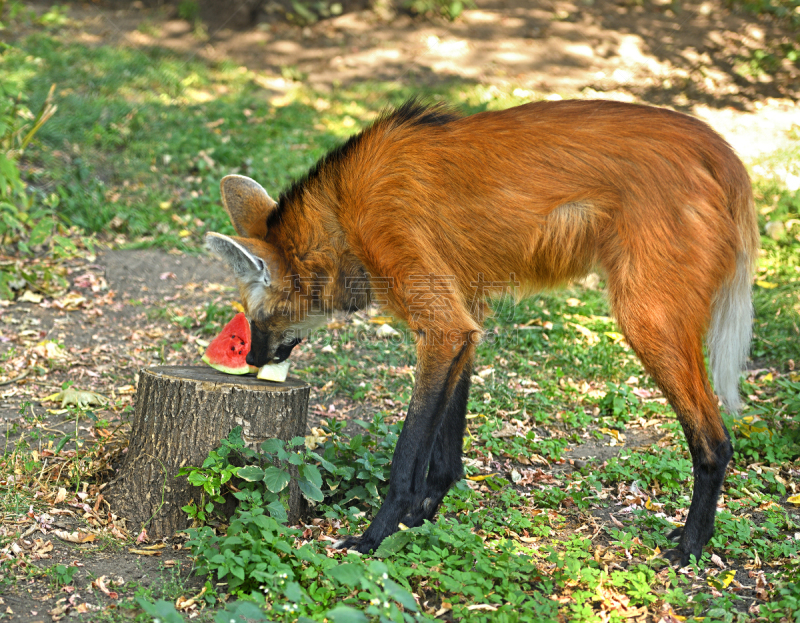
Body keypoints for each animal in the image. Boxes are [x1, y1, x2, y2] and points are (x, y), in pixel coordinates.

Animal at [205, 96, 756, 564]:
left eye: (253, 318)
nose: (250, 358)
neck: (342, 214)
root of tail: (719, 147)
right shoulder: (464, 318)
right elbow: (446, 451)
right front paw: (419, 520)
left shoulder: (440, 320)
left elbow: (408, 453)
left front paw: (374, 537)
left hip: (648, 319)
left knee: (715, 441)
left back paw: (690, 547)